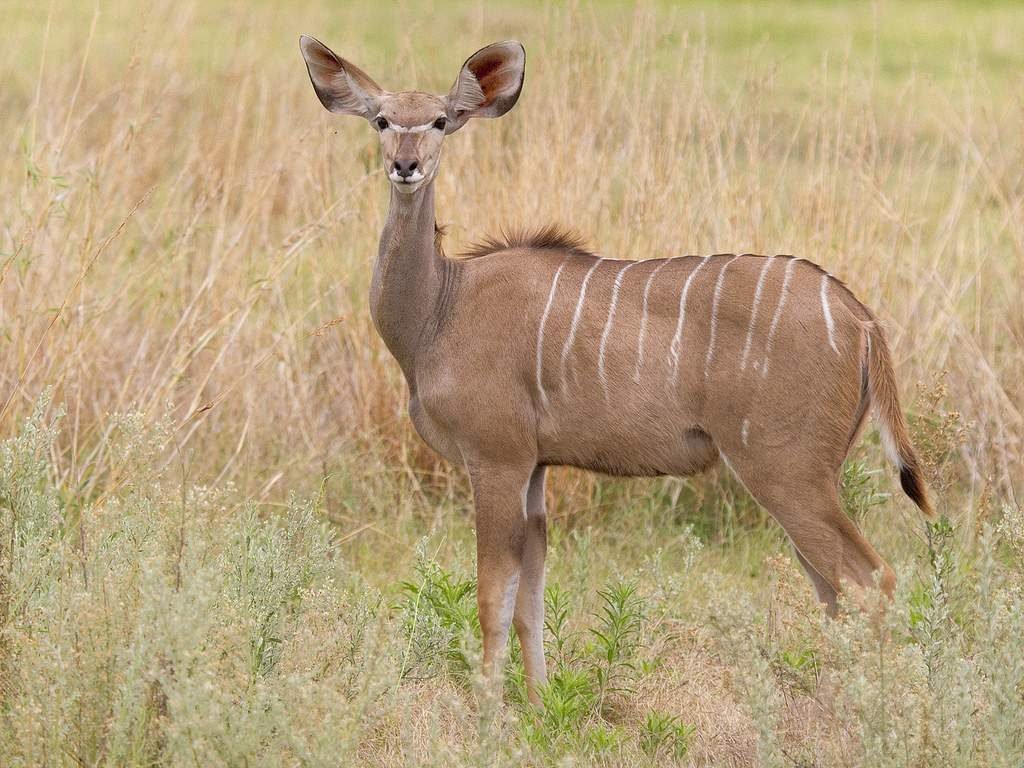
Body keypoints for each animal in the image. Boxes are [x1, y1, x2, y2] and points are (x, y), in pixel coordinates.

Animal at [299, 36, 933, 708]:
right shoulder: (534, 469)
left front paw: (490, 710)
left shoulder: (495, 458)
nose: (406, 165)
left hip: (785, 468)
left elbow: (492, 597)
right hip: (804, 475)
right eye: (382, 120)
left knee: (869, 580)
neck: (441, 307)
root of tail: (861, 320)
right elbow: (529, 599)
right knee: (834, 589)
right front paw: (540, 706)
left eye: (441, 121)